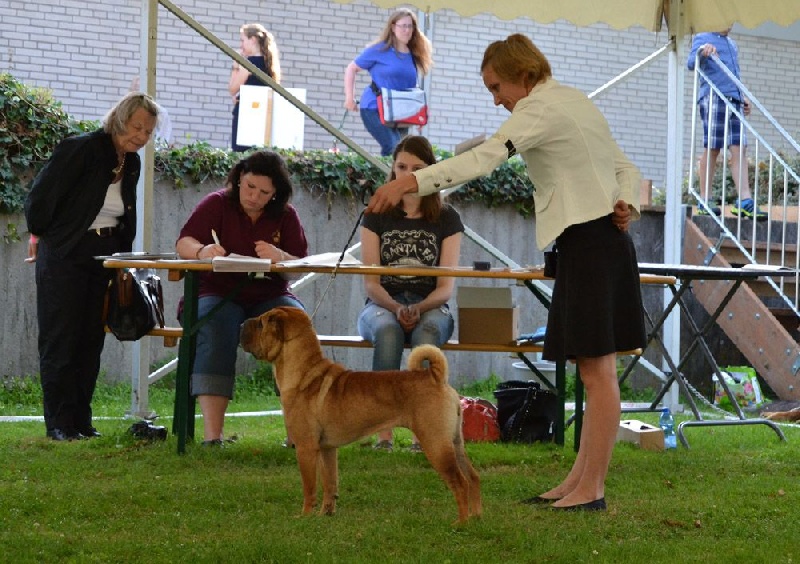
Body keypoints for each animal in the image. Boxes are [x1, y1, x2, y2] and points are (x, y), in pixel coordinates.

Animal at [240, 306, 481, 523]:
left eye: (261, 323)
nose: (242, 324)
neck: (304, 374)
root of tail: (435, 377)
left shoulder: (306, 448)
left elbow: (310, 487)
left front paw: (305, 516)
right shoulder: (327, 449)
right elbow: (330, 483)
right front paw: (325, 514)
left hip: (436, 443)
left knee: (460, 482)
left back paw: (461, 523)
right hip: (454, 442)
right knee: (473, 477)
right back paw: (476, 516)